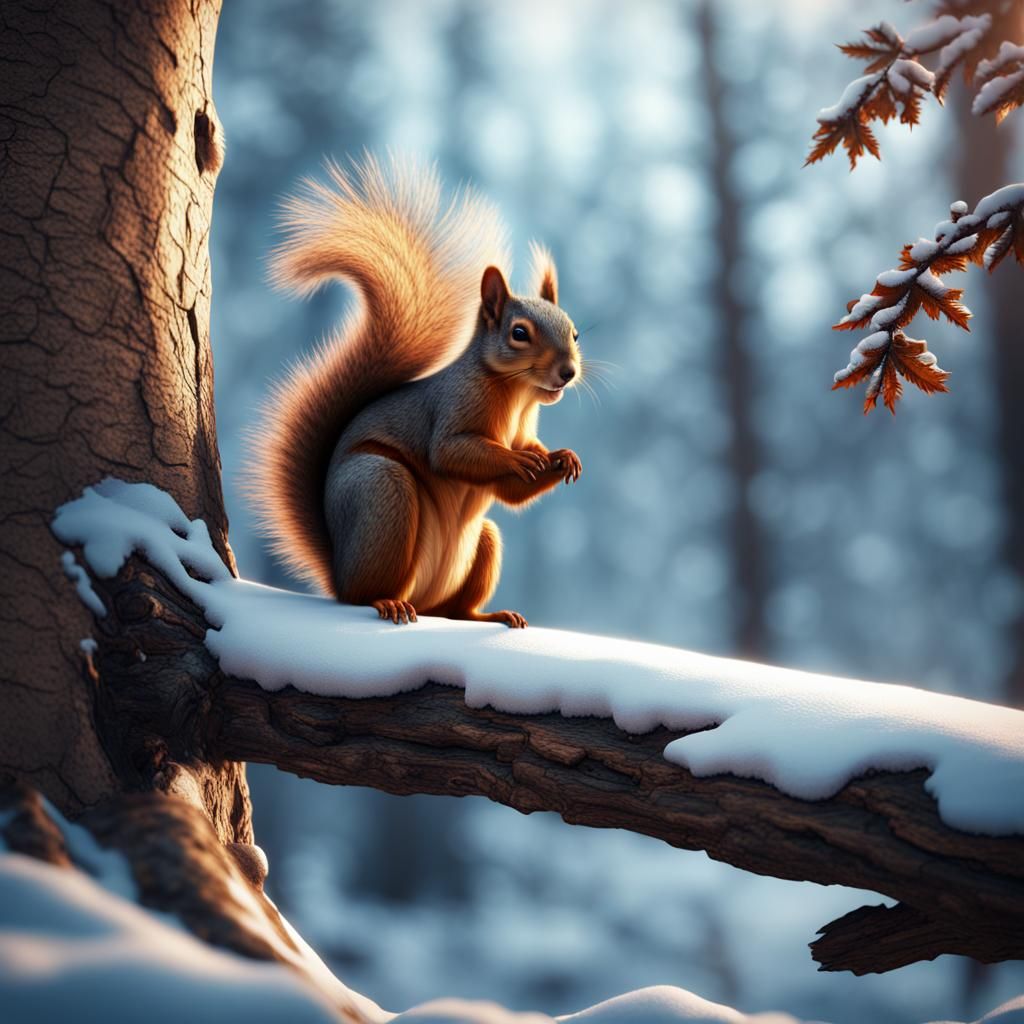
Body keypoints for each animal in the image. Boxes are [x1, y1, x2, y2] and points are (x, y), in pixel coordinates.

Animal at [246, 154, 582, 628]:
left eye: (575, 332)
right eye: (519, 333)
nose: (568, 373)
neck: (518, 397)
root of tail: (338, 570)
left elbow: (511, 493)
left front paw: (561, 457)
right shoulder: (454, 407)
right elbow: (451, 451)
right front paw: (518, 459)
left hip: (484, 542)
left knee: (456, 610)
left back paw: (490, 615)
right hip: (383, 495)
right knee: (362, 594)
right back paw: (385, 602)